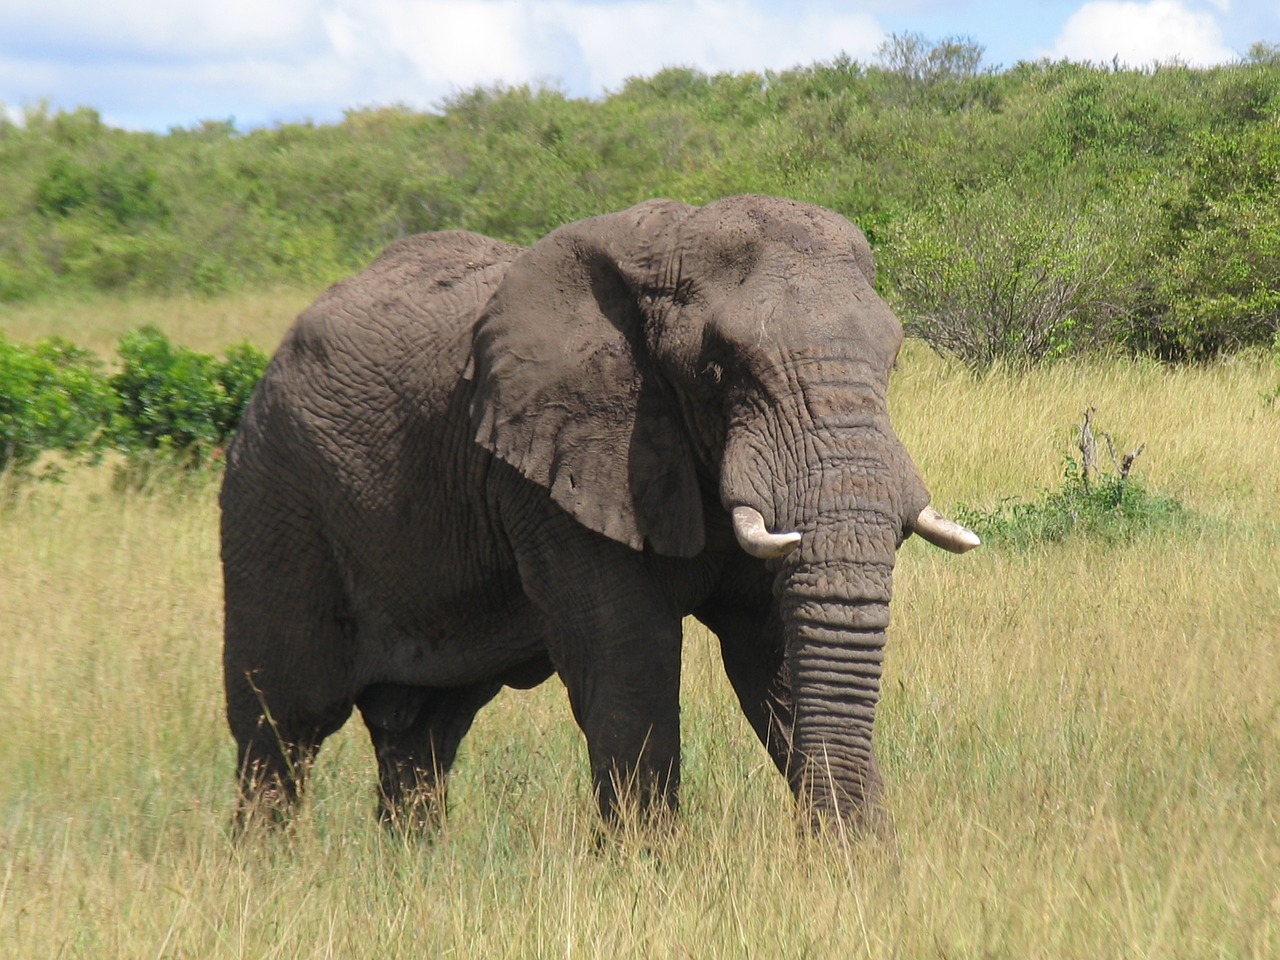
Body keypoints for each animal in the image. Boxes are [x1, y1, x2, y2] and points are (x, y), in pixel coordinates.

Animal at [222, 195, 977, 834]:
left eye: (894, 355)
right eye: (719, 367)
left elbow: (774, 653)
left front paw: (860, 872)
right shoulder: (551, 472)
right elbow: (629, 662)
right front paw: (653, 878)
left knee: (422, 733)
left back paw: (411, 874)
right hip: (274, 499)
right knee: (280, 725)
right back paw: (270, 873)